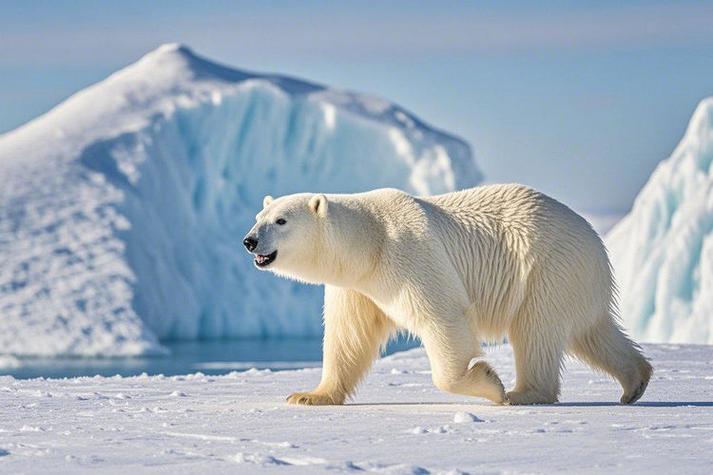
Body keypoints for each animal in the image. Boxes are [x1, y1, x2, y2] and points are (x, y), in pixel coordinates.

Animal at [243, 184, 652, 405]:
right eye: (258, 217)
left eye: (281, 221)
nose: (249, 241)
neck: (369, 243)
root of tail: (596, 239)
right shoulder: (357, 286)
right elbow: (348, 337)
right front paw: (308, 395)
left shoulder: (408, 254)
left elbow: (441, 316)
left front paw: (489, 381)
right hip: (575, 279)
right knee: (592, 332)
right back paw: (635, 381)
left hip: (546, 267)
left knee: (536, 329)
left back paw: (523, 392)